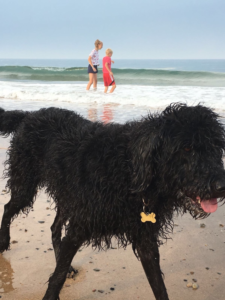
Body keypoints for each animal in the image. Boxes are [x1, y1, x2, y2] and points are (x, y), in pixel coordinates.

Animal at [0, 103, 225, 300]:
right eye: (187, 148)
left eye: (216, 147)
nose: (221, 186)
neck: (129, 170)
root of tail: (29, 115)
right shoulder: (80, 226)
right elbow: (57, 277)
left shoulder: (145, 240)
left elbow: (159, 287)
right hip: (25, 185)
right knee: (8, 207)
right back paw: (4, 241)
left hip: (67, 198)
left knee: (54, 227)